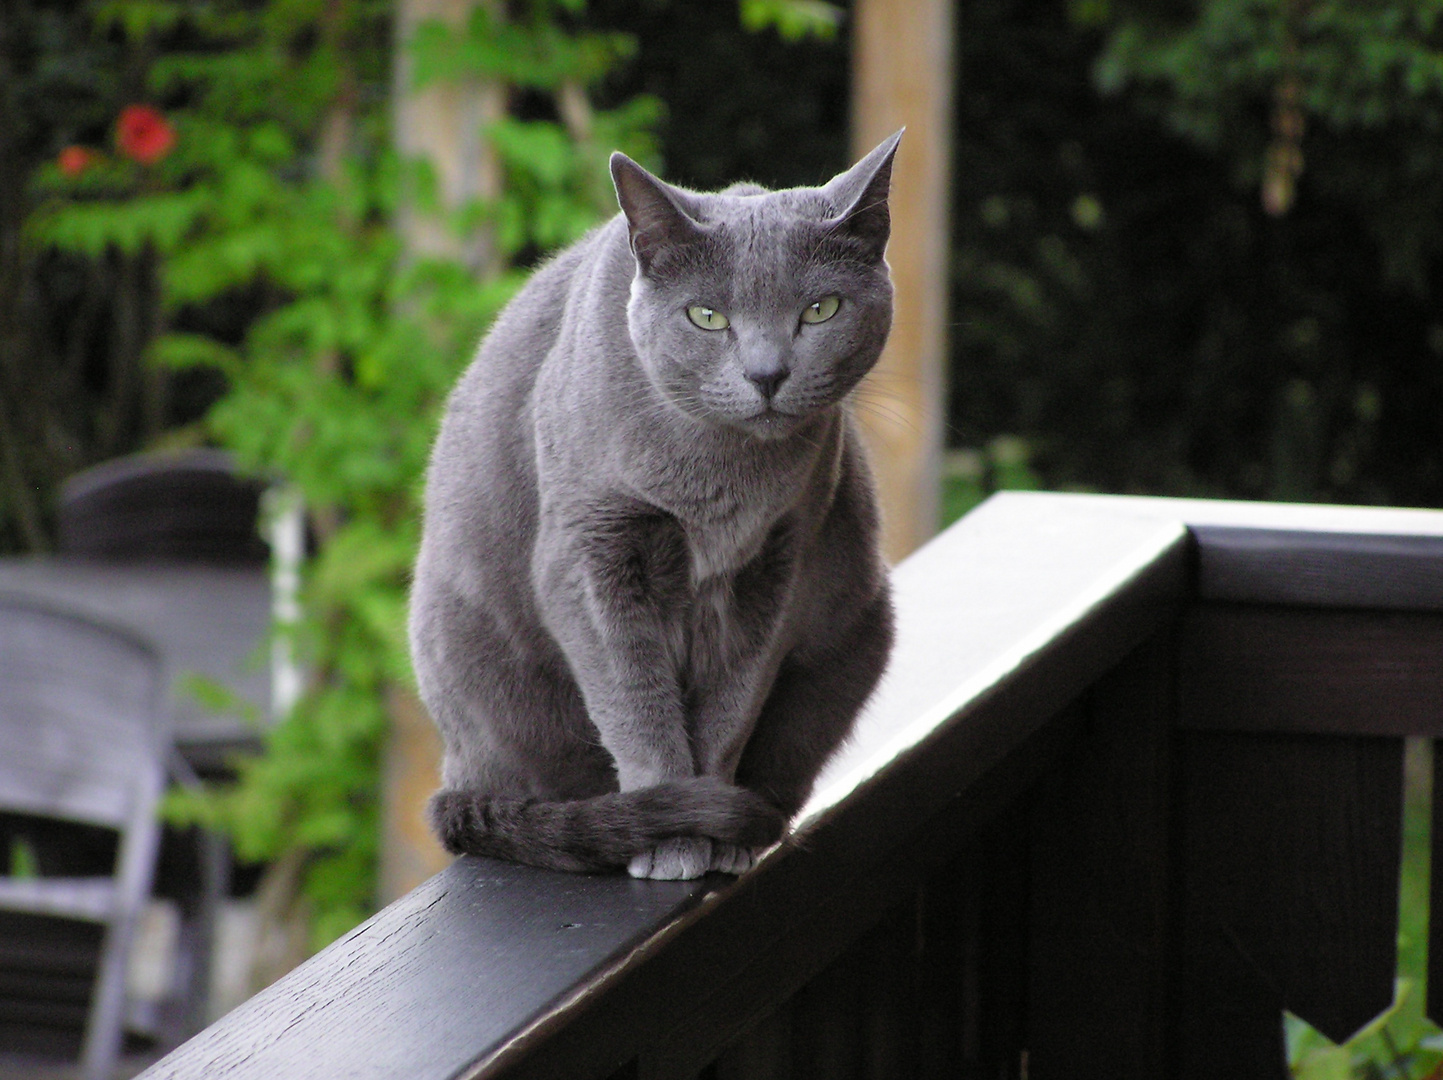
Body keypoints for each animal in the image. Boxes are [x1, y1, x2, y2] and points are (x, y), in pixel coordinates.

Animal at [409, 132, 900, 877]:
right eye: (707, 317)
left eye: (820, 310)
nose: (766, 373)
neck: (718, 484)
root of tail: (454, 768)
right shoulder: (591, 551)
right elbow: (635, 702)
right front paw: (670, 836)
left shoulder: (781, 557)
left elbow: (732, 705)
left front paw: (712, 831)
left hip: (857, 634)